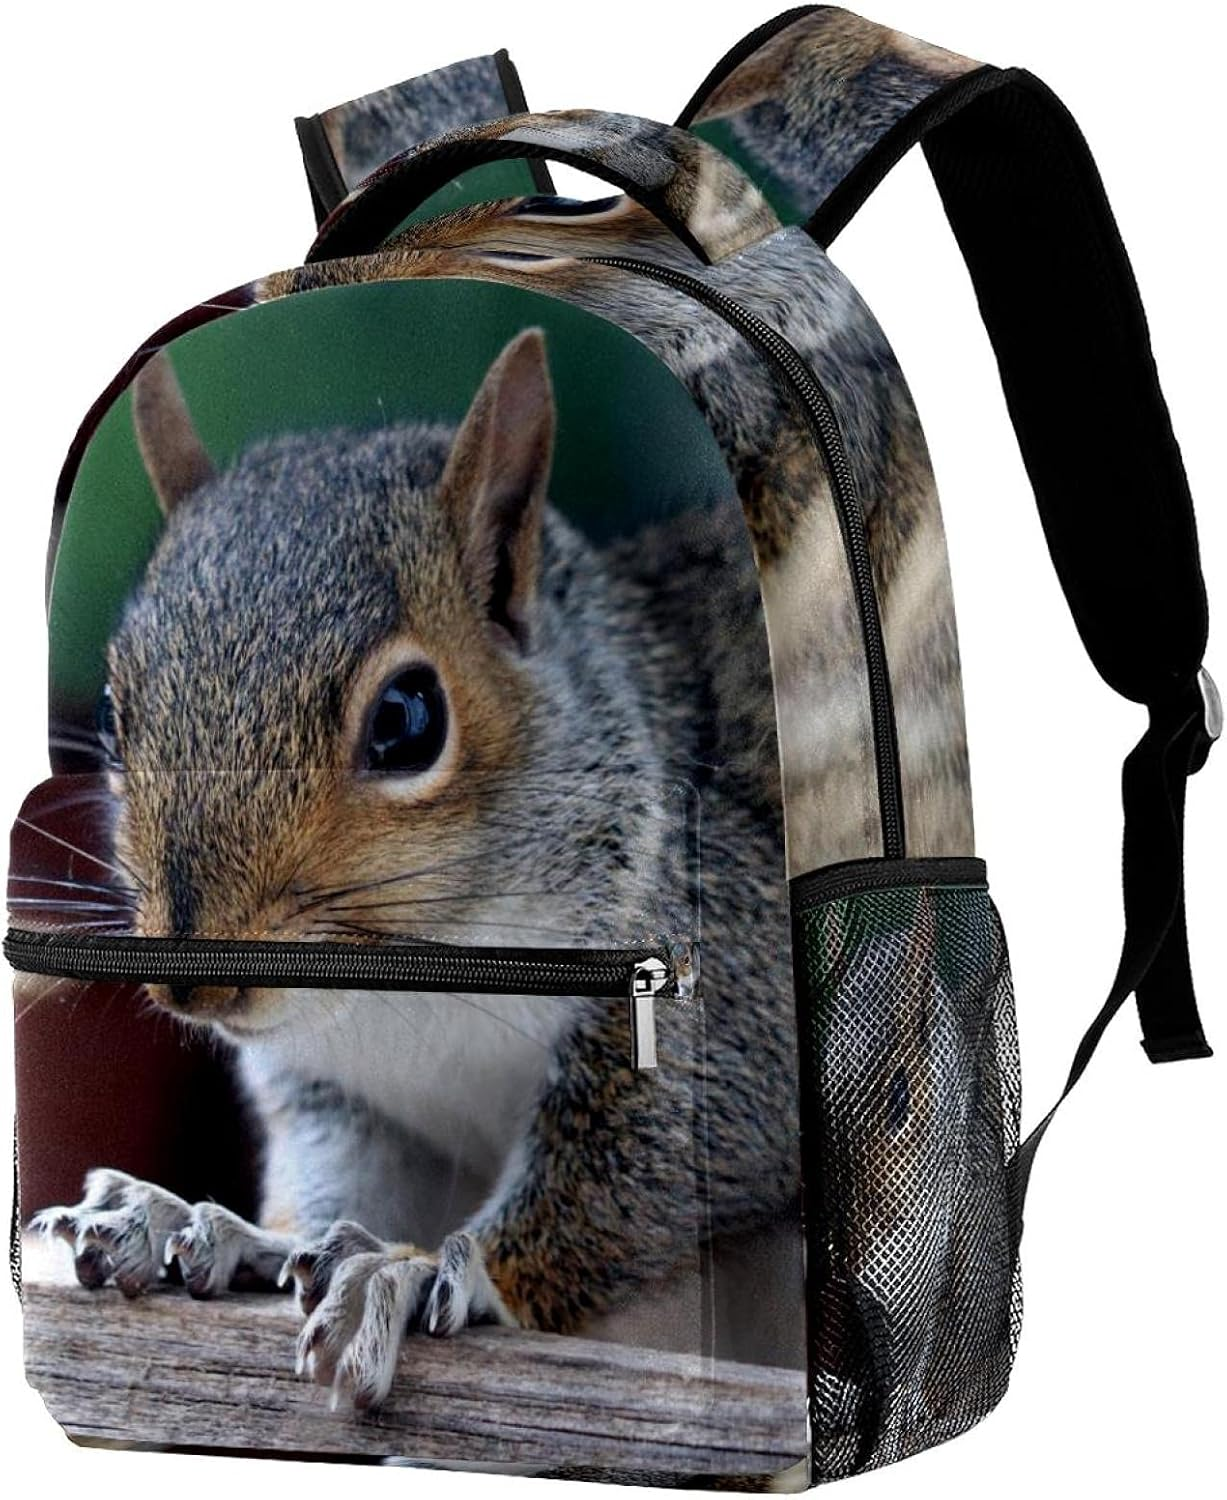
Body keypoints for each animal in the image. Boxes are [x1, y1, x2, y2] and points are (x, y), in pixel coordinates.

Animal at [34, 329, 803, 1409]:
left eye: (406, 720)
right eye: (111, 715)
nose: (195, 984)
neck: (403, 987)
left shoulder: (723, 967)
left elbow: (658, 1161)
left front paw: (415, 1271)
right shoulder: (344, 1094)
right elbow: (338, 1184)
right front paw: (211, 1227)